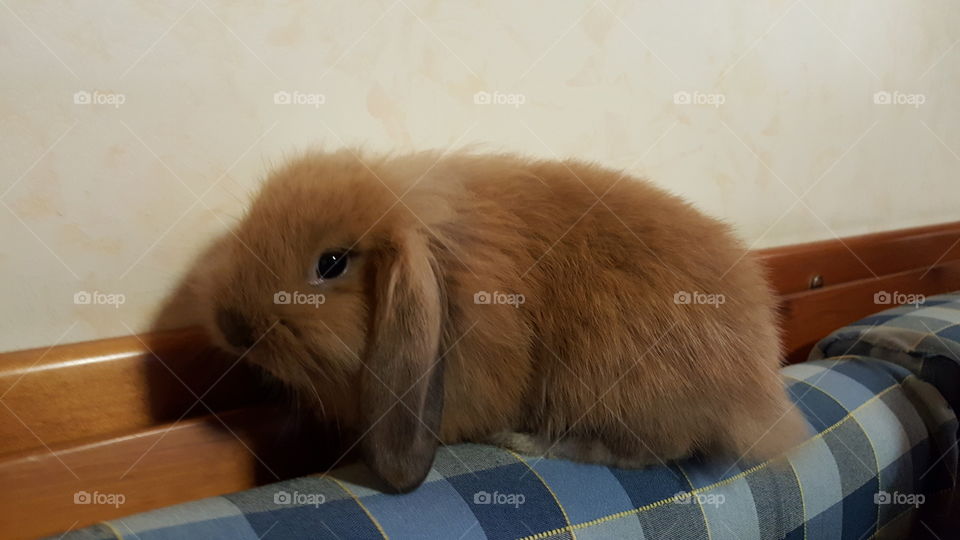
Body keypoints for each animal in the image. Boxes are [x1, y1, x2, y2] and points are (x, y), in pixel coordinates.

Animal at [197, 149, 809, 492]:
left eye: (331, 263)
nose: (231, 326)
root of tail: (757, 388)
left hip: (611, 385)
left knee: (647, 451)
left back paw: (523, 440)